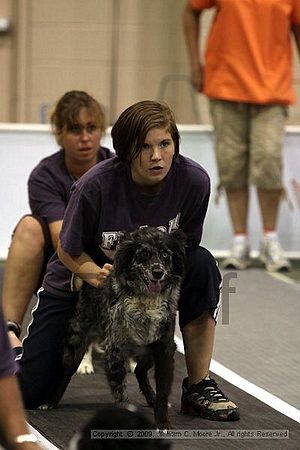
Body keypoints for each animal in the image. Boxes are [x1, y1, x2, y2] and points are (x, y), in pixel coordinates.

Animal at [47, 229, 185, 428]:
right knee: (66, 373)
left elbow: (163, 391)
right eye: (144, 253)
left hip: (148, 354)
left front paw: (163, 423)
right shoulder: (115, 351)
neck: (145, 303)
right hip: (77, 344)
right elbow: (121, 395)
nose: (158, 272)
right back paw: (50, 401)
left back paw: (151, 397)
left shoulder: (164, 349)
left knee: (140, 371)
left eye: (166, 254)